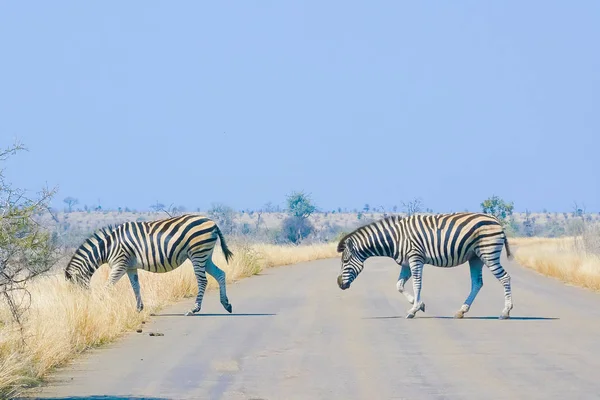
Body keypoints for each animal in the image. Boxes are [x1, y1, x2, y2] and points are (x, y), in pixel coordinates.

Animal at [65, 214, 234, 318]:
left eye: (74, 289)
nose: (79, 307)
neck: (107, 247)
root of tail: (212, 222)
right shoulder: (130, 267)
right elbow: (136, 287)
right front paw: (139, 309)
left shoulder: (120, 264)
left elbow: (107, 287)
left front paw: (100, 305)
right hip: (205, 255)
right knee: (220, 274)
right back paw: (226, 304)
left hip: (197, 253)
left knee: (203, 281)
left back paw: (194, 309)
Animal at [336, 212, 512, 318]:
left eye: (345, 261)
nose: (339, 284)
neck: (395, 239)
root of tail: (496, 220)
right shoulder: (406, 263)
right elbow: (399, 285)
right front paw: (419, 305)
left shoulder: (415, 258)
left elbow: (417, 284)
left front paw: (413, 310)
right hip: (475, 257)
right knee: (477, 283)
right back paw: (461, 311)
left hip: (488, 253)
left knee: (505, 278)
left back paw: (505, 312)